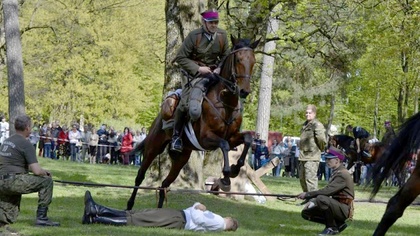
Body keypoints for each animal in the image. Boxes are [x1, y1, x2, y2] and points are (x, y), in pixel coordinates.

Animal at [126, 36, 260, 209]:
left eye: (254, 61)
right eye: (238, 59)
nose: (244, 91)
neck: (225, 102)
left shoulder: (232, 137)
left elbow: (248, 138)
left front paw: (235, 168)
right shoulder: (206, 138)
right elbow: (223, 145)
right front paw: (225, 176)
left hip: (182, 158)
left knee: (164, 183)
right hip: (153, 148)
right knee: (140, 176)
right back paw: (129, 205)